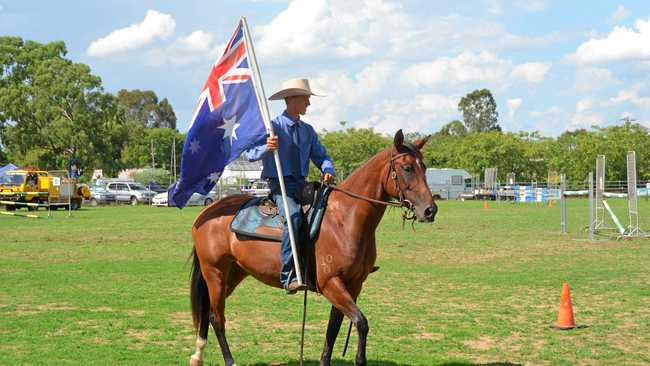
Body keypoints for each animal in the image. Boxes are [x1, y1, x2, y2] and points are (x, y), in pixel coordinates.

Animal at [190, 130, 438, 364]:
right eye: (407, 168)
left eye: (424, 167)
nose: (430, 210)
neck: (344, 219)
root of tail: (207, 212)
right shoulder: (331, 284)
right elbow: (361, 322)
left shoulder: (353, 285)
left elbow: (333, 328)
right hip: (214, 272)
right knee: (216, 317)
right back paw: (229, 360)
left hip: (233, 273)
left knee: (209, 313)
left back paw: (197, 356)